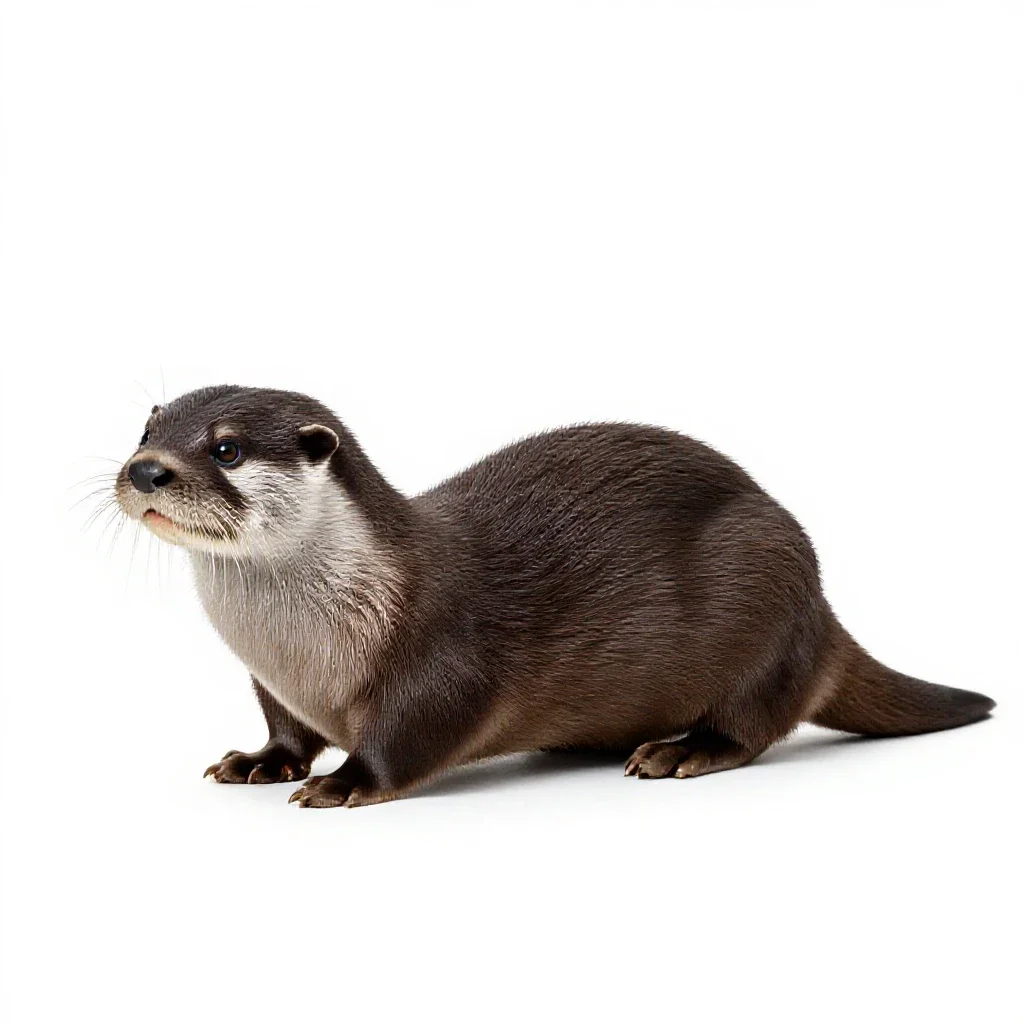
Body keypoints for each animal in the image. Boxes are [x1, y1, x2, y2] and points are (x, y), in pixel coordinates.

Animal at [112, 386, 995, 808]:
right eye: (145, 430)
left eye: (226, 448)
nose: (147, 470)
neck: (305, 644)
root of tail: (820, 606)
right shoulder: (273, 682)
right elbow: (286, 729)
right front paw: (262, 761)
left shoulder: (446, 657)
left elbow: (417, 730)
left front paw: (345, 780)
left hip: (766, 591)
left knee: (756, 718)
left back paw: (682, 750)